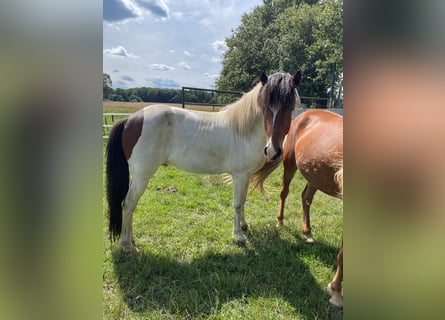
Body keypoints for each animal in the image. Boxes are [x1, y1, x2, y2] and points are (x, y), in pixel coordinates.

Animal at [106, 72, 302, 252]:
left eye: (290, 107)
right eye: (265, 107)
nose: (273, 151)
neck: (243, 130)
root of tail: (130, 119)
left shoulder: (245, 176)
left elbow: (243, 200)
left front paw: (244, 225)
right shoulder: (240, 176)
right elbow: (237, 204)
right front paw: (239, 236)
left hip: (137, 176)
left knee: (130, 205)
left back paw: (131, 237)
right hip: (142, 176)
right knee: (128, 204)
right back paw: (127, 245)